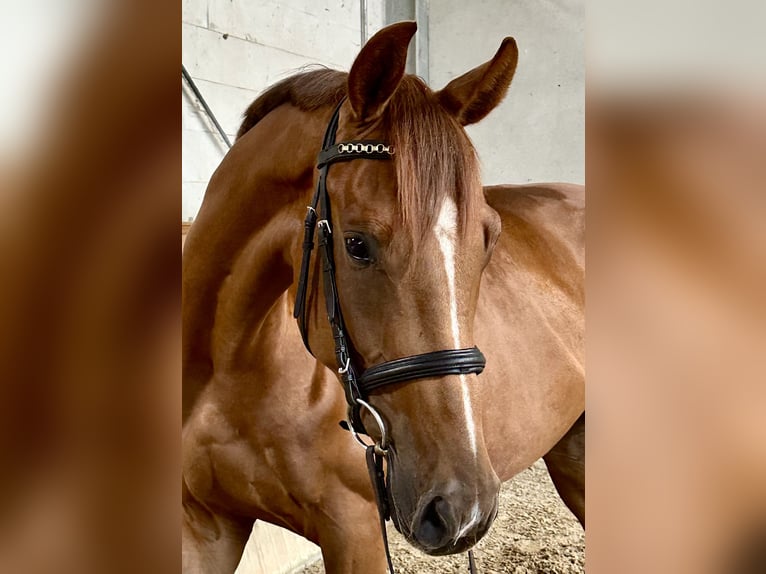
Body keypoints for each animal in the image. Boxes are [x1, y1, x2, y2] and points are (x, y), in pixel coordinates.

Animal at [182, 22, 584, 574]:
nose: (462, 507)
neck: (232, 369)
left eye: (488, 239)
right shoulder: (205, 524)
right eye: (356, 244)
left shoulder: (357, 532)